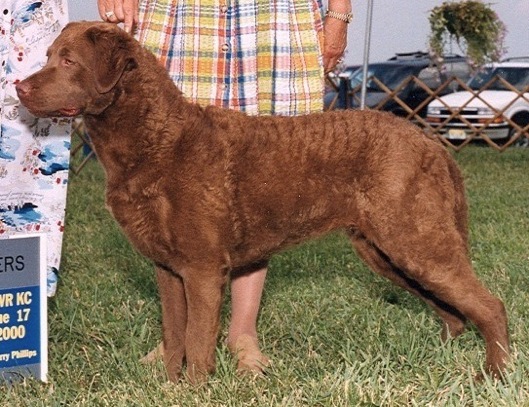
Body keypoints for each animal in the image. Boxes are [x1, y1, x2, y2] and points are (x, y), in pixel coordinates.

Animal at [18, 23, 510, 386]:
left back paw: (494, 375)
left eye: (68, 60)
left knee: (489, 306)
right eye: (48, 55)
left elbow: (197, 340)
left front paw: (194, 390)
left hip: (414, 238)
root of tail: (431, 143)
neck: (157, 140)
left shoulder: (202, 267)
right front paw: (169, 387)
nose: (20, 87)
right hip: (385, 250)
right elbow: (174, 335)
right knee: (453, 313)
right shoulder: (168, 268)